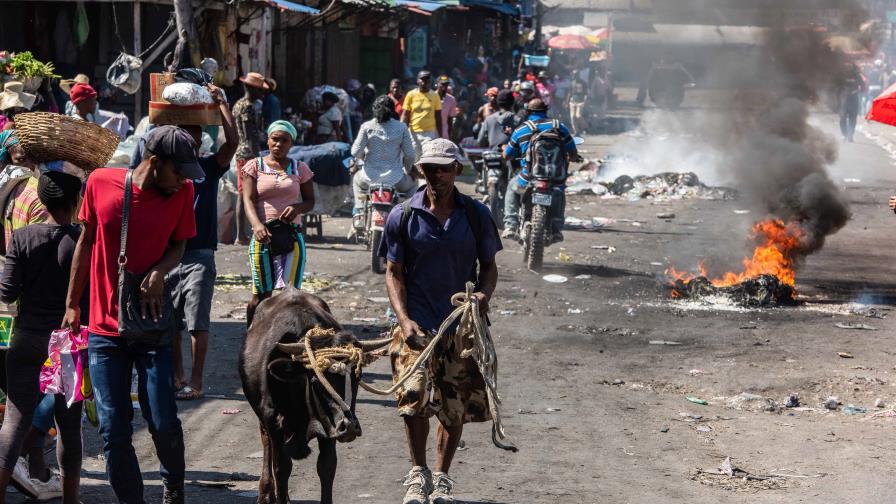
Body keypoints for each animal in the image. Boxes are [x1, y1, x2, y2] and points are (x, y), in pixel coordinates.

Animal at [240, 288, 390, 504]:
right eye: (315, 380)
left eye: (357, 377)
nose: (349, 426)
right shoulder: (273, 421)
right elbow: (281, 468)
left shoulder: (330, 426)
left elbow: (327, 467)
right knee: (266, 443)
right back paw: (266, 493)